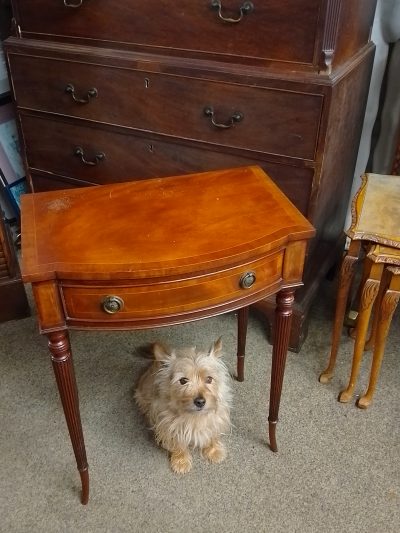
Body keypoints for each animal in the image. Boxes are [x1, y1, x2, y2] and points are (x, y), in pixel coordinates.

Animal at [135, 338, 231, 472]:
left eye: (209, 379)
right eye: (183, 380)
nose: (200, 402)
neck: (195, 416)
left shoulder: (216, 419)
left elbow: (212, 435)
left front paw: (214, 451)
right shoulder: (169, 426)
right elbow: (178, 444)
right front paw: (181, 461)